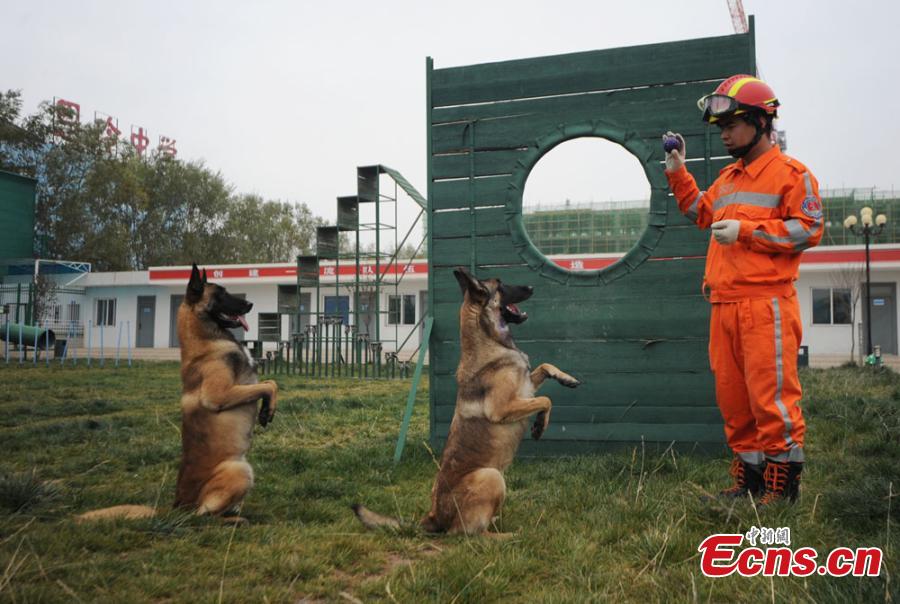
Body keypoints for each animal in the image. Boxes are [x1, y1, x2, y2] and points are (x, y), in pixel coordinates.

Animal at [74, 264, 274, 524]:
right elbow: (269, 385)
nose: (249, 305)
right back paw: (233, 520)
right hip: (239, 469)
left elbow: (268, 383)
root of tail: (177, 506)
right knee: (203, 517)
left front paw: (266, 411)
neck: (206, 340)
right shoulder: (219, 395)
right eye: (220, 294)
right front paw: (268, 410)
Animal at [354, 266, 584, 536]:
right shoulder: (503, 408)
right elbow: (546, 400)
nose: (531, 287)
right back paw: (512, 535)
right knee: (470, 534)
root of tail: (433, 517)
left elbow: (545, 367)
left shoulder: (526, 387)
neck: (489, 341)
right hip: (492, 476)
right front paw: (539, 426)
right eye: (501, 285)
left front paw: (566, 379)